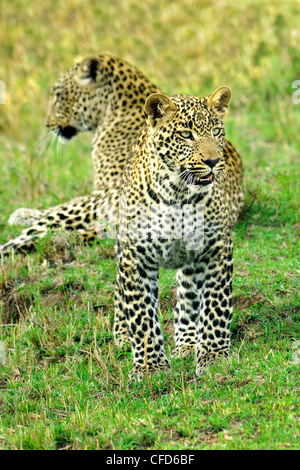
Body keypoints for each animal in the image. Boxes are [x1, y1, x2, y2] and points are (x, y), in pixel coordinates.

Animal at [115, 88, 239, 380]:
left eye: (215, 131)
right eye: (185, 134)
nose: (213, 161)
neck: (178, 194)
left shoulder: (216, 247)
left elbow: (215, 304)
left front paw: (214, 355)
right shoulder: (135, 257)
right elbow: (141, 315)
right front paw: (150, 366)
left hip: (192, 264)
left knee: (189, 299)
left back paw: (189, 343)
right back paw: (121, 335)